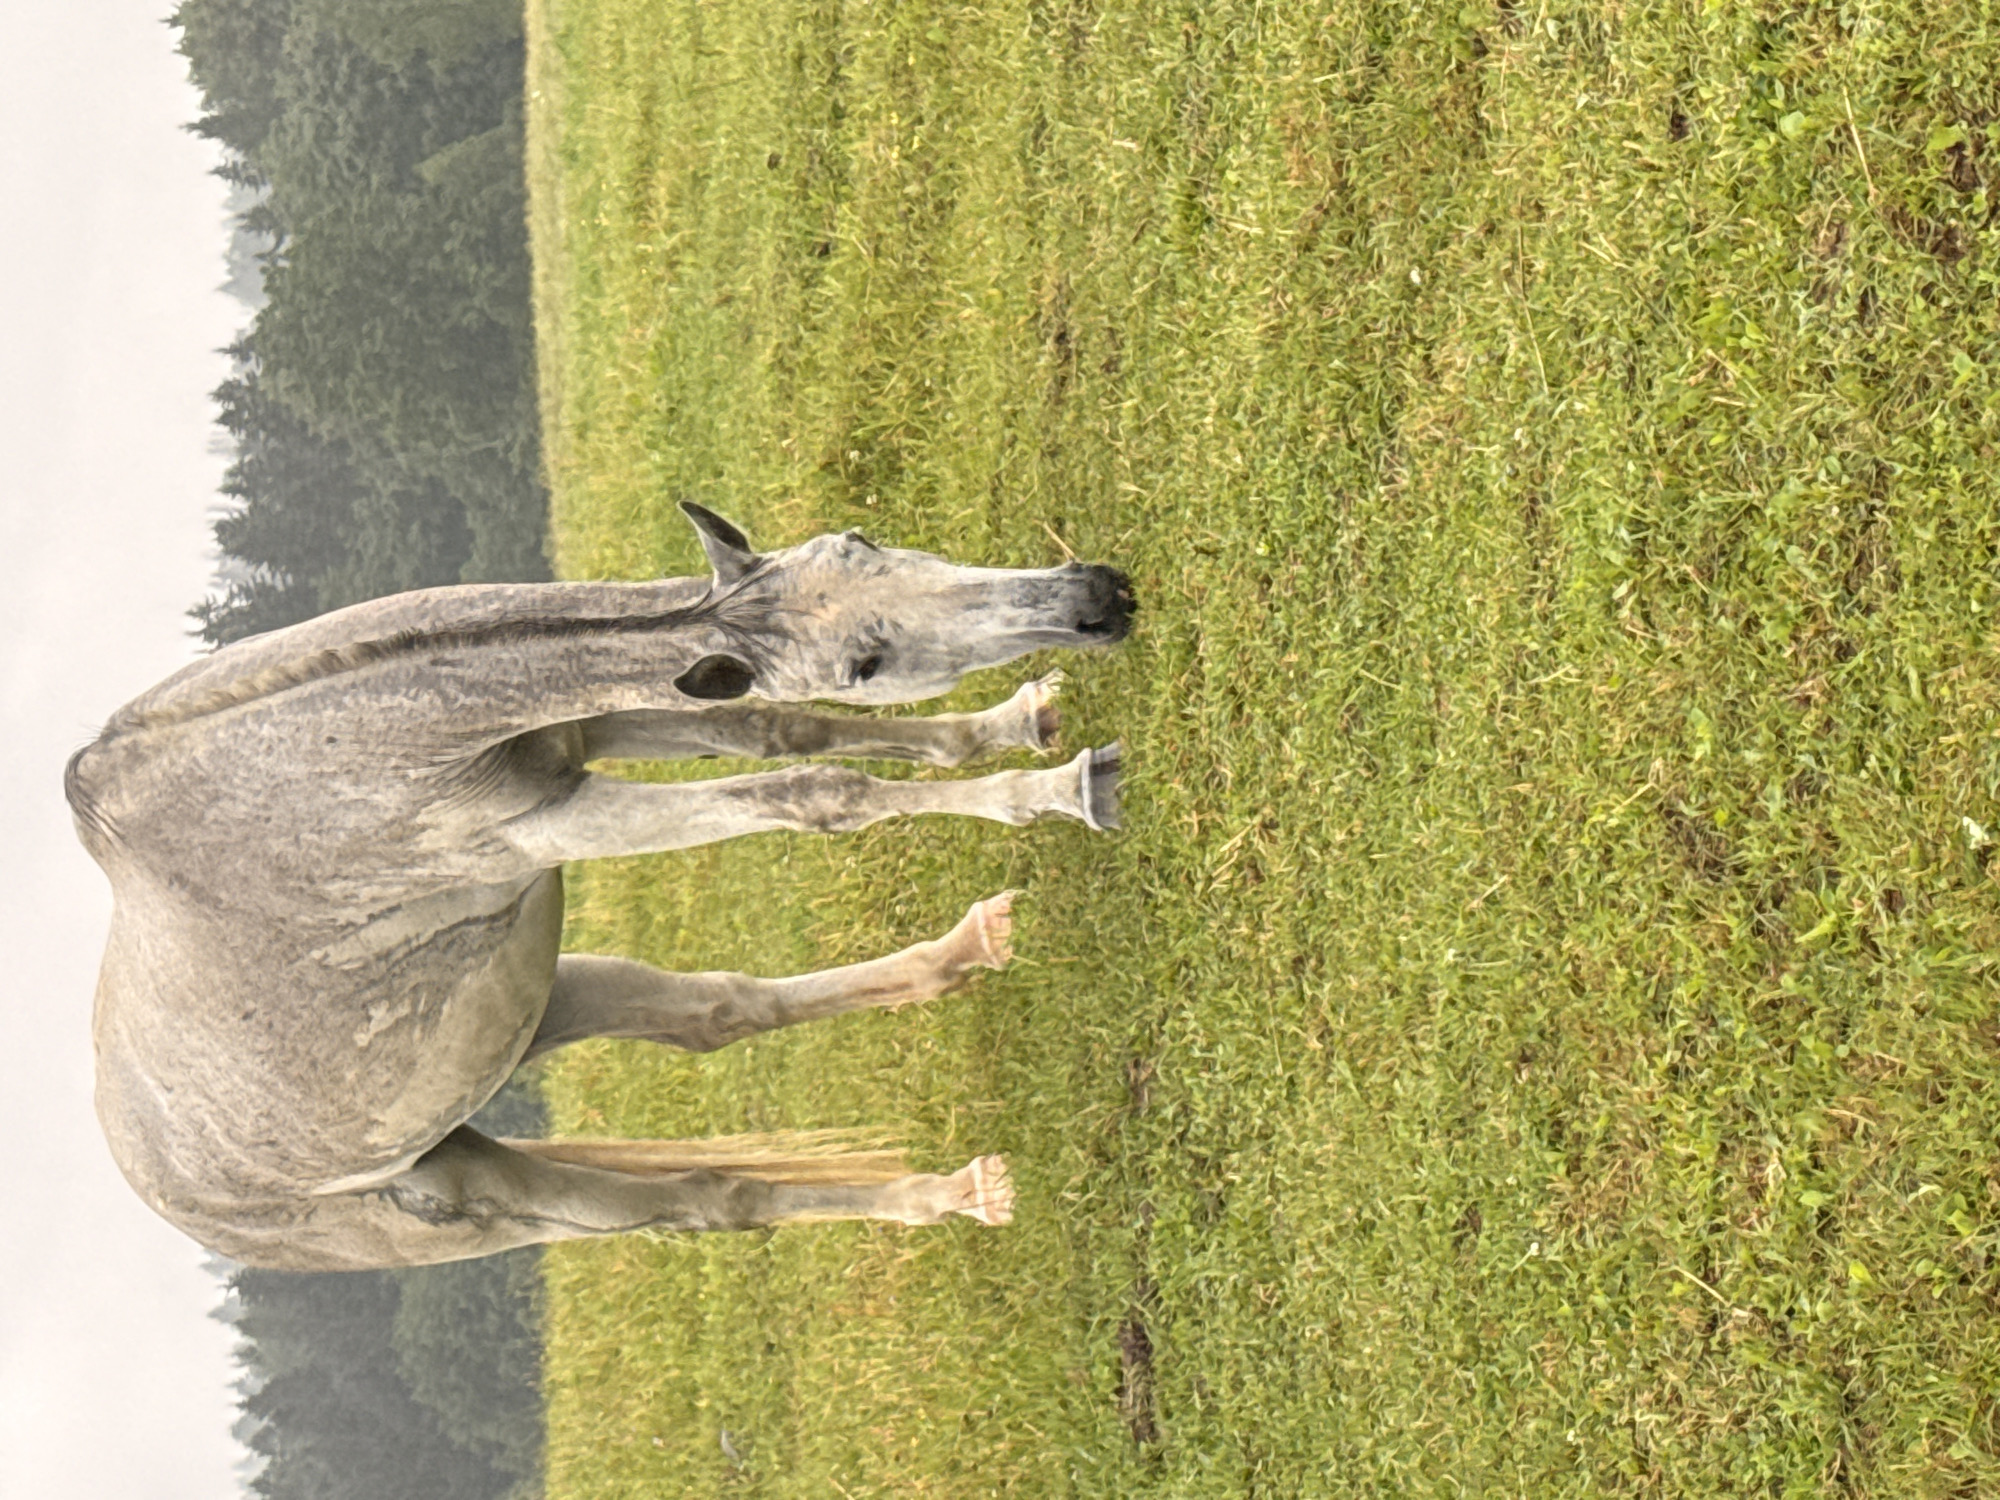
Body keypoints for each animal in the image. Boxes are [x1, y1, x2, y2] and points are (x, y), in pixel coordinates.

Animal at [68, 504, 1132, 1271]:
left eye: (861, 542)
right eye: (862, 662)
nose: (1096, 599)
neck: (348, 750)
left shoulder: (615, 724)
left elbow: (782, 733)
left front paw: (1018, 726)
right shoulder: (553, 823)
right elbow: (813, 792)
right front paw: (1059, 788)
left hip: (545, 1006)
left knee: (714, 1014)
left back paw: (971, 952)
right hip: (502, 1207)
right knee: (711, 1203)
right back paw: (955, 1193)